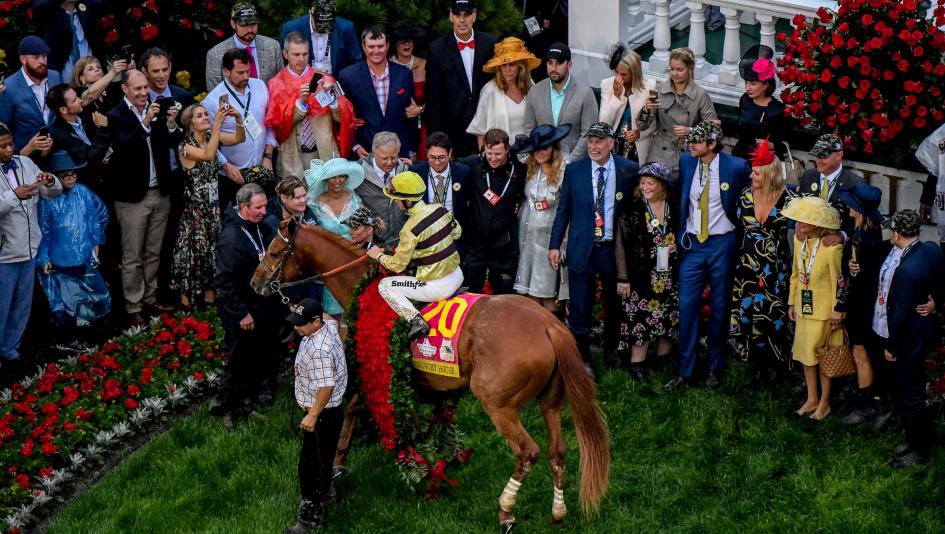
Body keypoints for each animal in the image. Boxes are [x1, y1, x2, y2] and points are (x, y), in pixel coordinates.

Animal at [251, 219, 610, 532]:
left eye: (274, 252)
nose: (255, 282)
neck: (363, 290)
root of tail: (549, 324)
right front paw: (430, 454)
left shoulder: (375, 367)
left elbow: (352, 406)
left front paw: (341, 460)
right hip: (551, 401)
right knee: (557, 451)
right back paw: (558, 512)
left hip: (500, 404)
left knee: (527, 452)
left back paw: (505, 511)